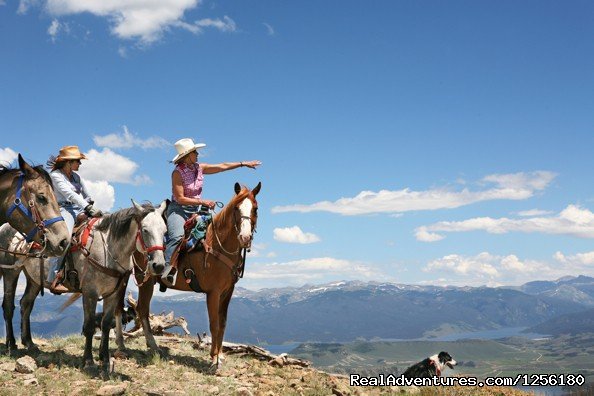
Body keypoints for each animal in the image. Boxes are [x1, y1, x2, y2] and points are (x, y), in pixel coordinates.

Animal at [0, 201, 166, 374]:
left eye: (164, 231)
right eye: (145, 229)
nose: (159, 265)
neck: (108, 249)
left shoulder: (112, 295)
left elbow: (106, 325)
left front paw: (105, 360)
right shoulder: (90, 293)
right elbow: (89, 327)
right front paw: (89, 361)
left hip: (34, 280)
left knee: (26, 304)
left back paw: (29, 343)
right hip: (11, 272)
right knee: (8, 306)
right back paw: (11, 344)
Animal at [130, 181, 260, 370]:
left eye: (255, 209)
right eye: (236, 208)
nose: (245, 237)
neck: (218, 245)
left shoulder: (227, 292)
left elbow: (222, 324)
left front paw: (220, 355)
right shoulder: (213, 292)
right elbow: (214, 324)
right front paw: (214, 359)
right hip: (144, 280)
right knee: (142, 309)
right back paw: (152, 345)